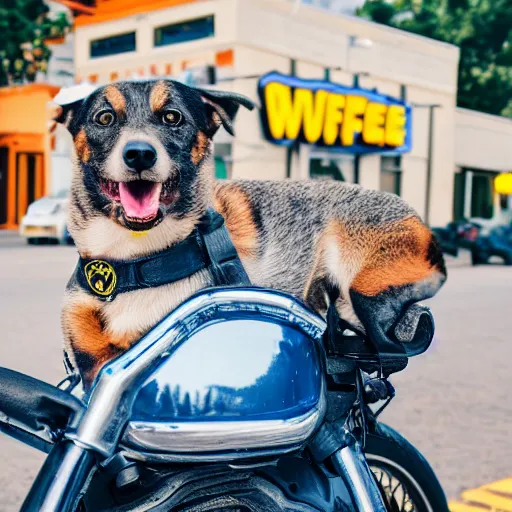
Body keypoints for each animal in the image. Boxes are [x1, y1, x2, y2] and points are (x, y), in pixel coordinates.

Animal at [51, 80, 444, 388]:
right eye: (104, 117)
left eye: (172, 117)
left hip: (364, 286)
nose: (139, 155)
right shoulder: (92, 364)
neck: (135, 264)